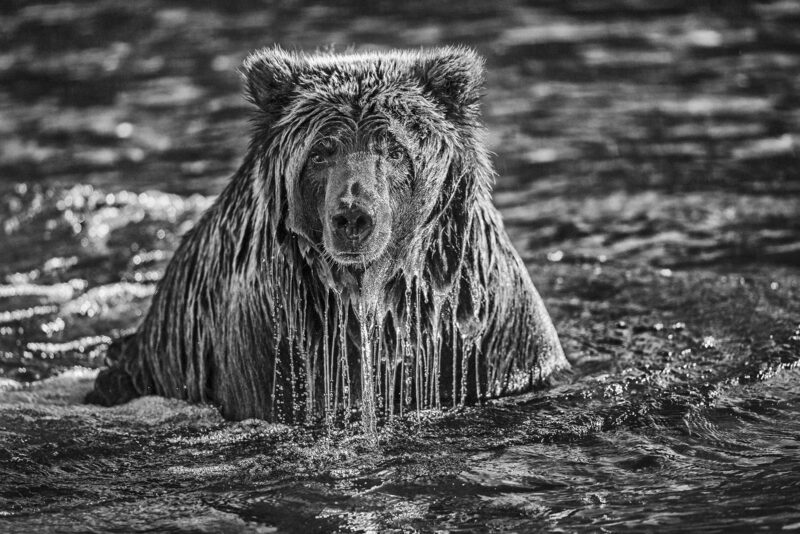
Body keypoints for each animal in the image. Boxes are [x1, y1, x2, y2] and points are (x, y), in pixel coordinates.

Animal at [87, 48, 568, 430]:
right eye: (321, 151)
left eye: (394, 148)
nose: (353, 216)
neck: (374, 301)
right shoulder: (278, 348)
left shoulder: (485, 338)